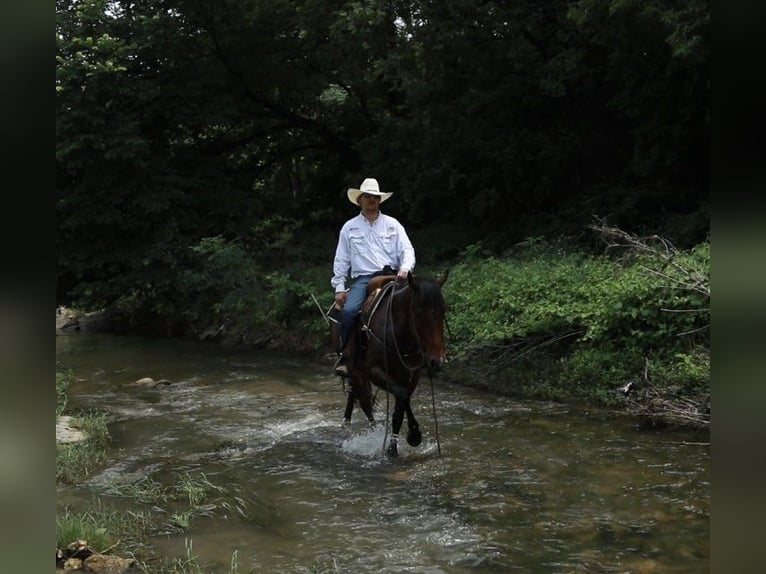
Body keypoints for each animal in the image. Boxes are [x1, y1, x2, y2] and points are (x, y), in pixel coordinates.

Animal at [344, 272, 450, 460]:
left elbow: (400, 409)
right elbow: (402, 396)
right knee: (365, 404)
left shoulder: (412, 376)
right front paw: (414, 435)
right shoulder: (375, 373)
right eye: (418, 313)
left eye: (443, 311)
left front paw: (393, 447)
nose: (437, 361)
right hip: (357, 371)